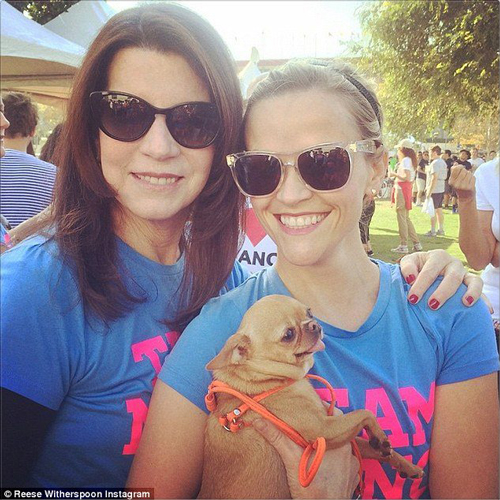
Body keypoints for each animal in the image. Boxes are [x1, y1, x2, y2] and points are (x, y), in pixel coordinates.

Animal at [197, 294, 424, 498]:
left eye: (310, 312)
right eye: (288, 334)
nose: (313, 325)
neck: (267, 380)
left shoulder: (346, 439)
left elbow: (377, 448)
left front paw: (406, 465)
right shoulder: (323, 430)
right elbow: (365, 413)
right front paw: (380, 435)